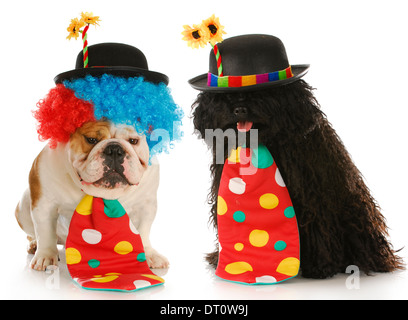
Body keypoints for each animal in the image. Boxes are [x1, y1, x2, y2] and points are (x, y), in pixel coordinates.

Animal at [190, 33, 404, 278]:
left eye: (262, 93)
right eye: (226, 98)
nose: (240, 109)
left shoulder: (313, 194)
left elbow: (317, 227)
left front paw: (320, 267)